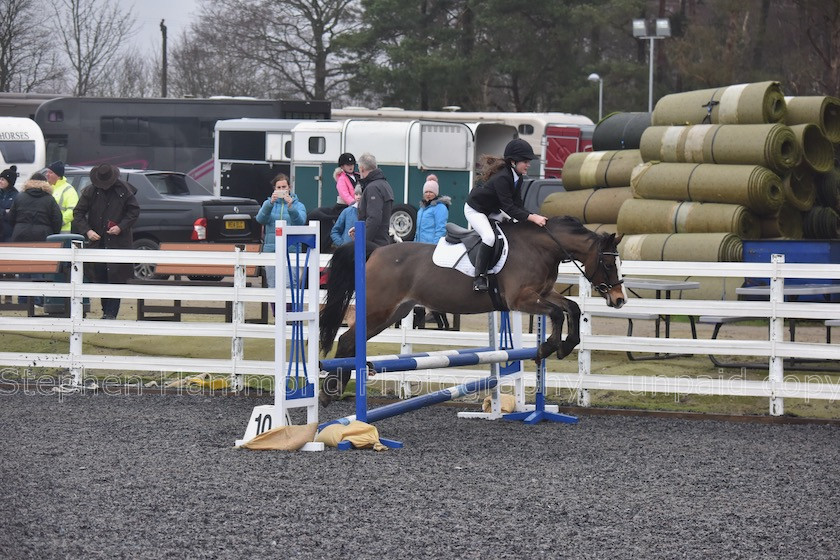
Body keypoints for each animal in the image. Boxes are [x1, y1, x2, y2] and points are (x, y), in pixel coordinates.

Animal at [318, 217, 628, 404]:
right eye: (608, 264)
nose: (619, 299)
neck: (542, 248)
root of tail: (376, 251)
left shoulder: (542, 294)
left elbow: (571, 308)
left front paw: (565, 346)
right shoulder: (521, 299)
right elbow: (556, 314)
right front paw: (548, 347)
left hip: (393, 312)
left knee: (350, 342)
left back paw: (336, 390)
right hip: (379, 310)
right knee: (346, 340)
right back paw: (331, 391)